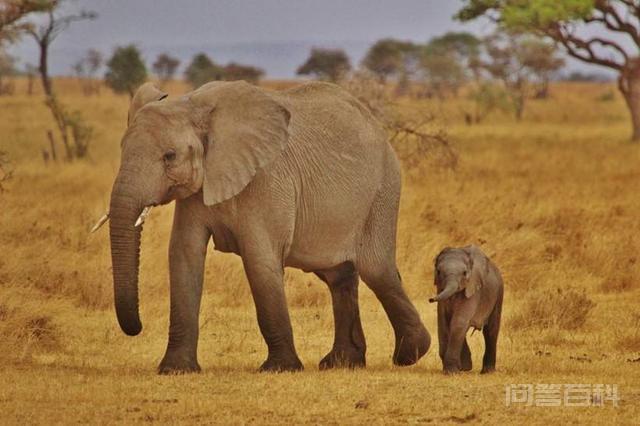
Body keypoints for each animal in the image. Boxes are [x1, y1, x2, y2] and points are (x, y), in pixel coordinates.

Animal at [100, 80, 431, 374]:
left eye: (169, 156)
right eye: (121, 148)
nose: (137, 328)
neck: (194, 106)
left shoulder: (267, 180)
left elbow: (259, 260)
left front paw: (280, 368)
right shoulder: (196, 192)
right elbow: (184, 255)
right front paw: (175, 370)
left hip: (382, 191)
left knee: (376, 270)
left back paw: (410, 354)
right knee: (339, 275)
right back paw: (342, 363)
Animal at [429, 245, 503, 374]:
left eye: (464, 273)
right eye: (438, 272)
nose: (430, 299)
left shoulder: (473, 289)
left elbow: (458, 321)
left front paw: (451, 372)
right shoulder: (440, 290)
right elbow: (443, 322)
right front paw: (460, 368)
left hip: (498, 293)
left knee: (491, 330)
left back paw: (487, 371)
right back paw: (467, 368)